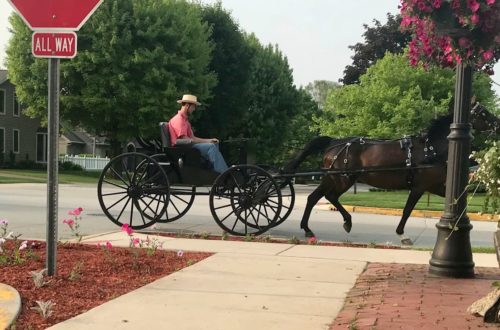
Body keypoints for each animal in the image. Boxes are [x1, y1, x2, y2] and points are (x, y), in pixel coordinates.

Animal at [288, 103, 498, 245]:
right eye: (483, 113)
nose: (498, 123)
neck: (431, 149)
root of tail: (334, 142)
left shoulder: (435, 186)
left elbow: (457, 198)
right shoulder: (419, 187)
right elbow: (407, 210)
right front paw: (402, 235)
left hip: (331, 178)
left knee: (313, 197)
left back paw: (307, 229)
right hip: (342, 180)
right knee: (330, 196)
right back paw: (347, 221)